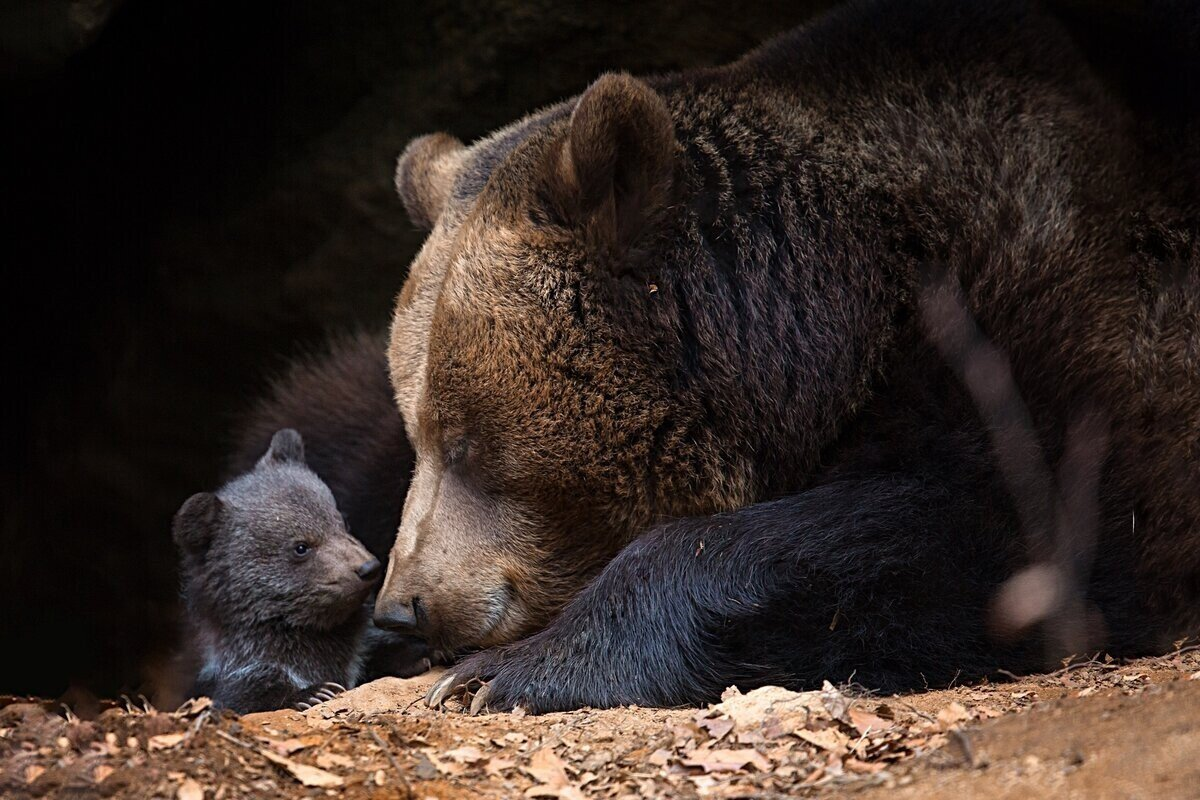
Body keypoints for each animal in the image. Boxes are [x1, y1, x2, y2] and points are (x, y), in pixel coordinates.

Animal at [374, 0, 1200, 714]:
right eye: (415, 433)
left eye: (465, 440)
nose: (402, 607)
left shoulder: (1064, 338)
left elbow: (979, 536)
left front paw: (505, 671)